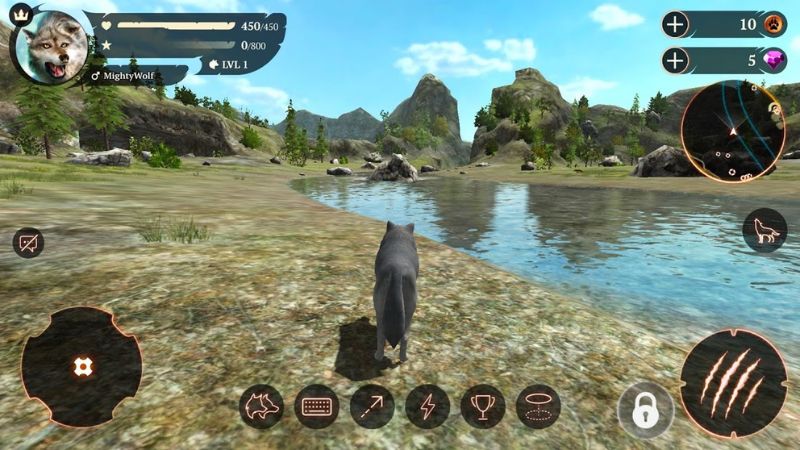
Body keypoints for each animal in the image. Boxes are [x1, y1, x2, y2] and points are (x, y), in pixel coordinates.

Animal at [373, 221, 419, 362]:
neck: (399, 237)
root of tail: (397, 270)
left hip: (380, 307)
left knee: (382, 334)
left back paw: (379, 357)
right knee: (403, 336)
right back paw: (402, 359)